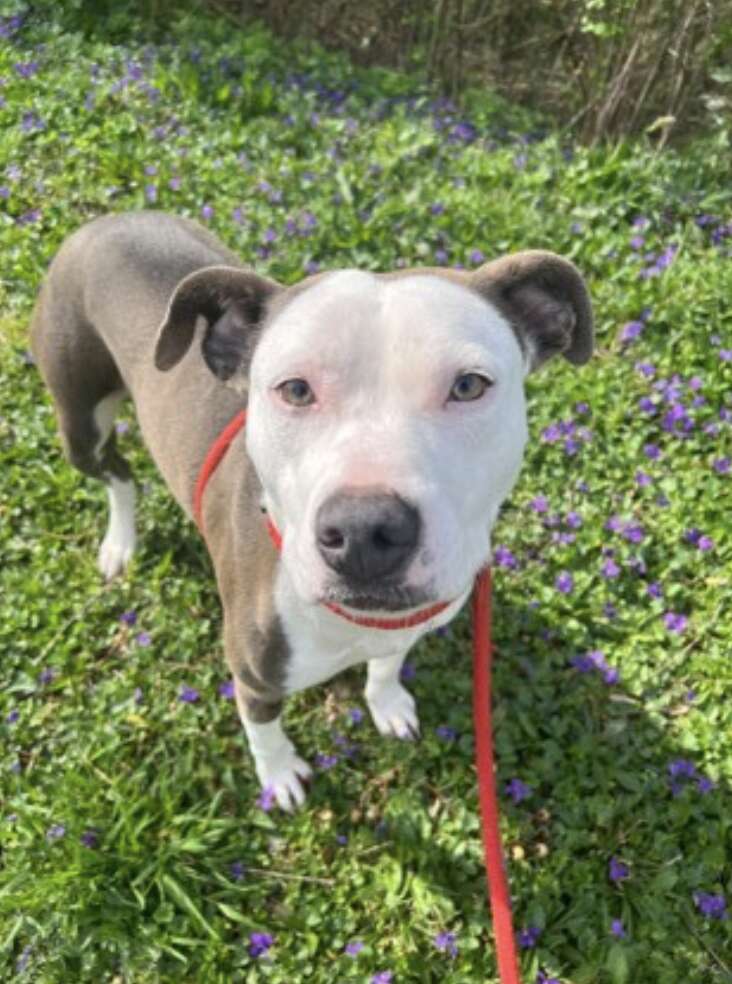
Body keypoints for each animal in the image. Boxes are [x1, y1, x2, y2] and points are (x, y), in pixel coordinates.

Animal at [31, 211, 592, 812]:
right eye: (295, 390)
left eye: (468, 386)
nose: (365, 531)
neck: (355, 621)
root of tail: (107, 220)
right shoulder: (253, 677)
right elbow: (264, 731)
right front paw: (279, 775)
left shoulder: (404, 626)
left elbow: (386, 665)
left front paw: (387, 703)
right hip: (80, 421)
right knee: (120, 476)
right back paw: (121, 543)